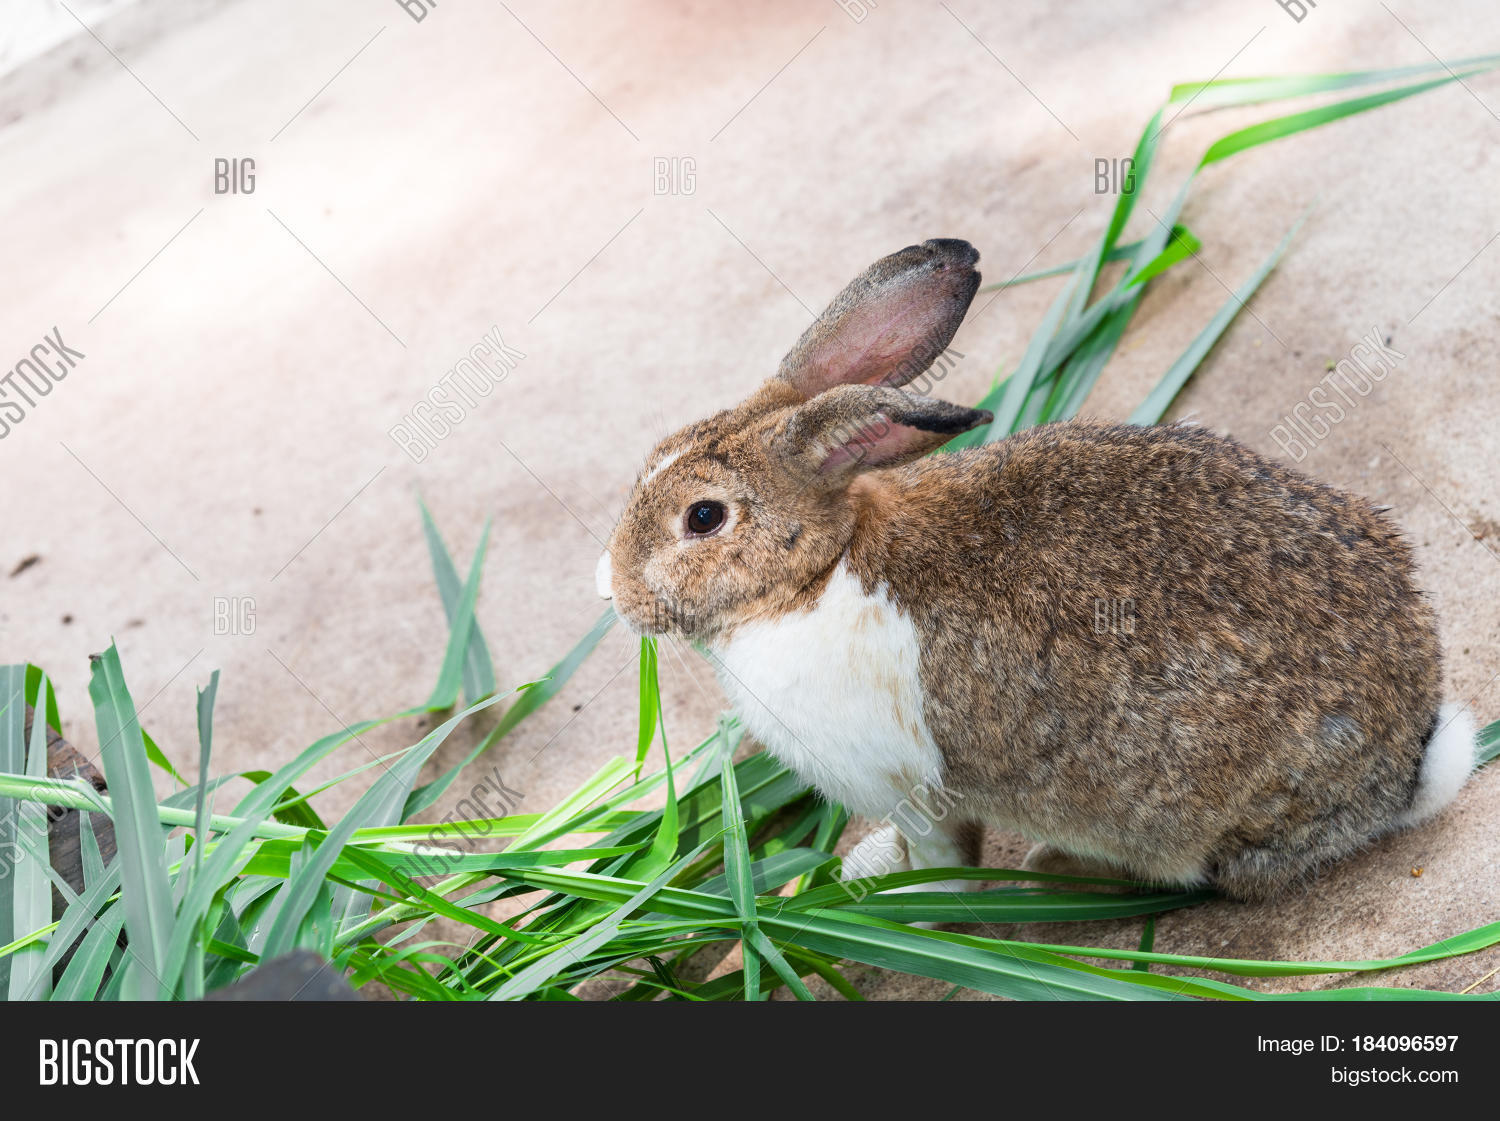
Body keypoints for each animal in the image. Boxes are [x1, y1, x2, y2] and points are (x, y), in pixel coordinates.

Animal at [594, 237, 1479, 902]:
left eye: (703, 517)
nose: (615, 589)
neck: (814, 573)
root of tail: (1407, 765)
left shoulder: (910, 786)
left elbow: (944, 854)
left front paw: (902, 895)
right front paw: (873, 870)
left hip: (1183, 810)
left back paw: (1059, 868)